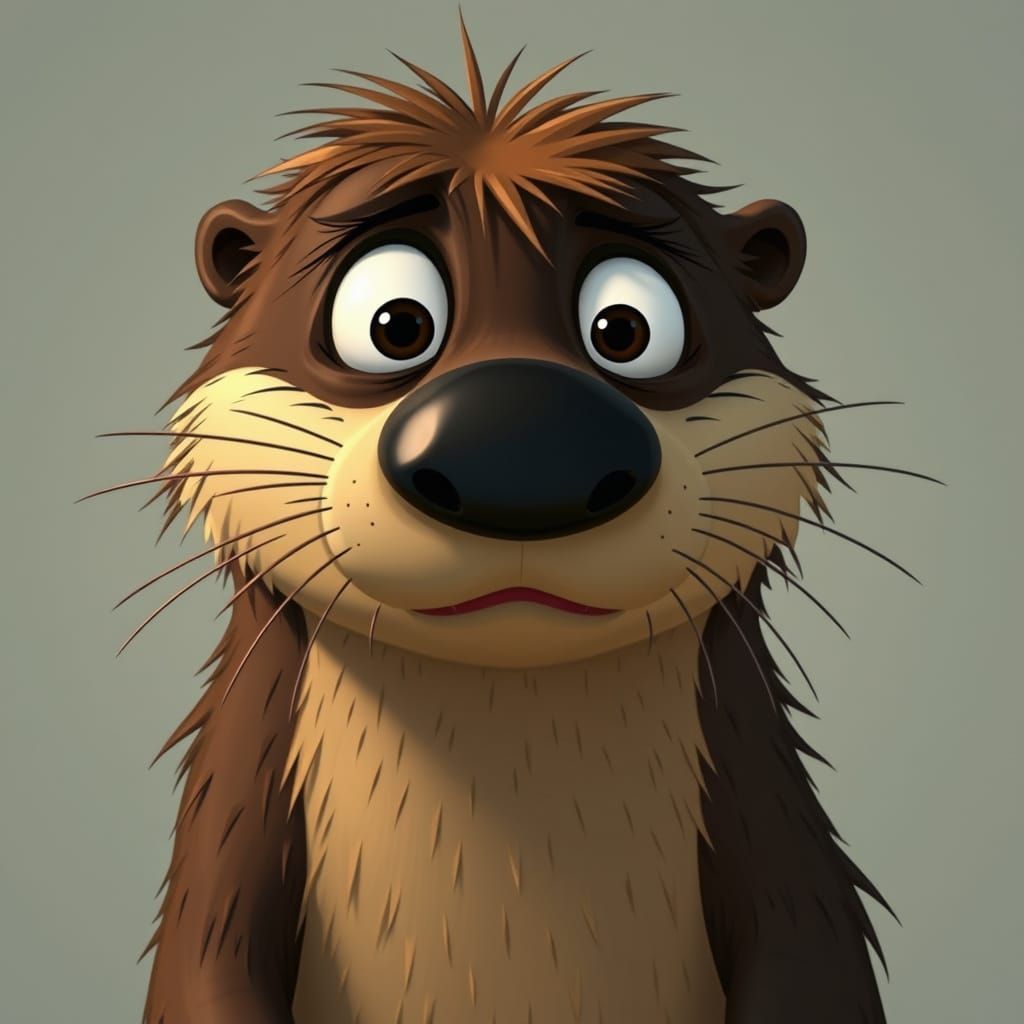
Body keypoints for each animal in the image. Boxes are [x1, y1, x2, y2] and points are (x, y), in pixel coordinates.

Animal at [96, 18, 931, 1024]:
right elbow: (206, 965)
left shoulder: (774, 830)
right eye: (393, 322)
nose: (525, 449)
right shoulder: (233, 824)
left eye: (626, 327)